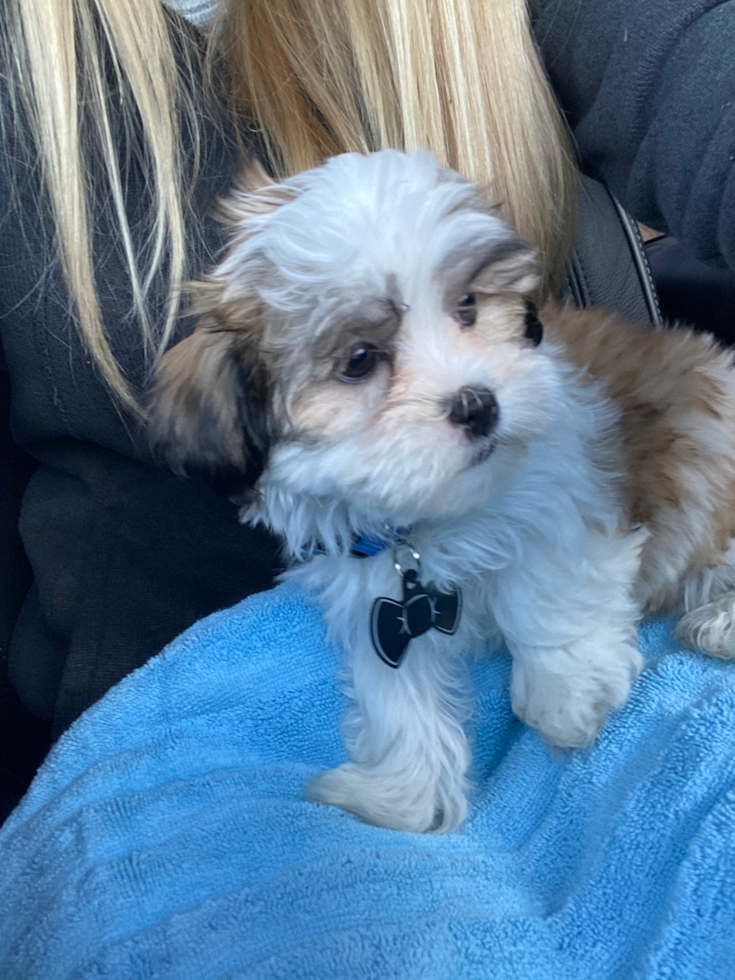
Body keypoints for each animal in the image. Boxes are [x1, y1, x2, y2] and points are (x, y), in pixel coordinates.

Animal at [147, 151, 735, 836]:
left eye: (468, 306)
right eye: (359, 359)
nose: (477, 404)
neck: (428, 523)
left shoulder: (559, 487)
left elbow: (545, 584)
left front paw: (565, 691)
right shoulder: (374, 593)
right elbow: (396, 691)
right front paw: (405, 793)